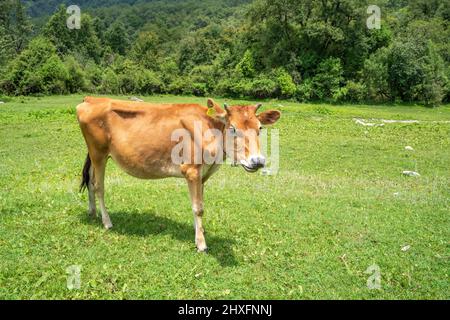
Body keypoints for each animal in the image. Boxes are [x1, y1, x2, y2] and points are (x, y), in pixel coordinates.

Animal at [77, 96, 282, 251]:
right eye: (232, 128)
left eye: (260, 128)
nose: (257, 161)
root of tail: (91, 99)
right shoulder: (191, 170)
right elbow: (198, 208)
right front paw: (201, 243)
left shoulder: (203, 175)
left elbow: (199, 204)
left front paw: (200, 231)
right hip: (99, 153)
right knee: (98, 186)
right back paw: (106, 221)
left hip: (96, 155)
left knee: (91, 181)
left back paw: (92, 212)